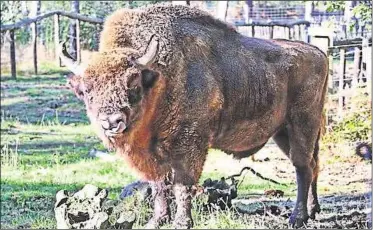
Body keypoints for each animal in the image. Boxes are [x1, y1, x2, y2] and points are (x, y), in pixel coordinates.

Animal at [59, 3, 326, 228]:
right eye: (86, 90)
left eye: (132, 82)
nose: (112, 122)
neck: (159, 79)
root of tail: (318, 52)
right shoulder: (152, 157)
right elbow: (159, 186)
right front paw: (157, 220)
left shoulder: (189, 145)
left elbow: (182, 184)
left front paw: (181, 222)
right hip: (284, 133)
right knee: (313, 165)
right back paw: (313, 211)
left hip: (302, 125)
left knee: (302, 166)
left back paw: (297, 218)